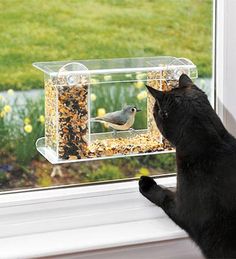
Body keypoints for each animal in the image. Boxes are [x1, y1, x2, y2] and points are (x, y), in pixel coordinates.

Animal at [139, 74, 236, 258]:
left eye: (155, 110)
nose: (153, 110)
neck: (211, 143)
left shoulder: (183, 210)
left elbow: (164, 195)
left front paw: (146, 183)